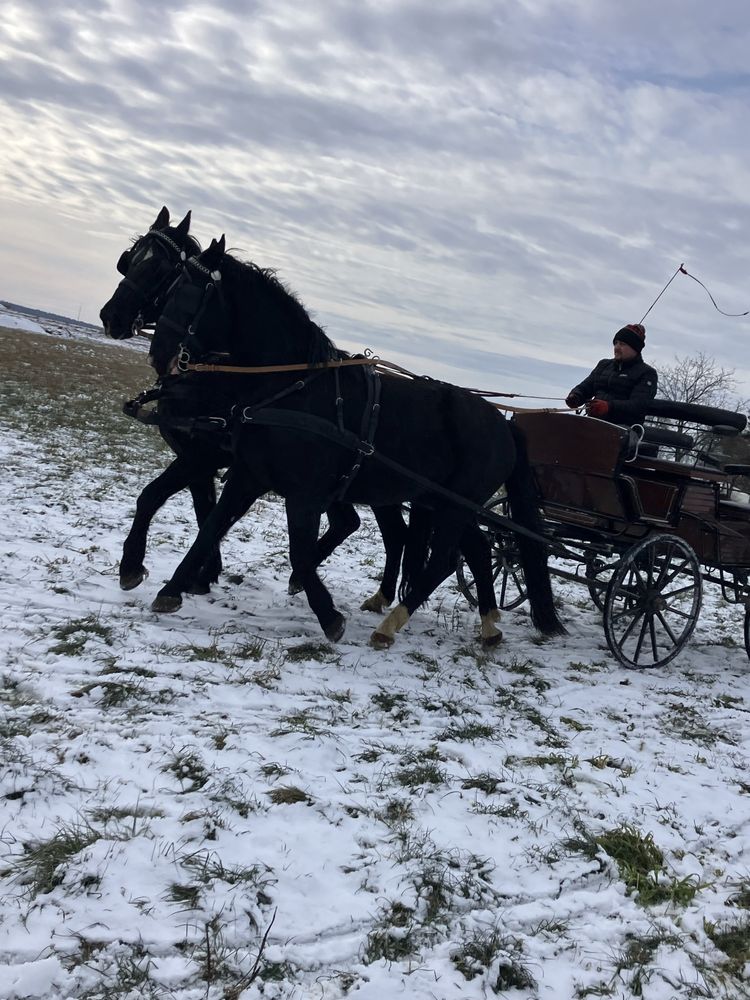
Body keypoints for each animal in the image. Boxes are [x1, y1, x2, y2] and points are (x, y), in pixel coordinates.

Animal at [100, 208, 408, 612]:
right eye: (129, 261)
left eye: (162, 270)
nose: (111, 317)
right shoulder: (201, 456)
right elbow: (204, 509)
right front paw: (203, 574)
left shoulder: (205, 455)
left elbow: (155, 496)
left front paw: (137, 567)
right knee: (354, 522)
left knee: (392, 532)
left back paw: (371, 592)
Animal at [145, 236, 564, 648]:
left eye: (187, 293)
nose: (160, 355)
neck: (291, 389)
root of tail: (503, 424)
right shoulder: (248, 476)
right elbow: (212, 526)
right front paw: (170, 590)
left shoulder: (304, 493)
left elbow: (300, 553)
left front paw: (329, 617)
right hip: (447, 502)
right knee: (476, 551)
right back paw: (488, 626)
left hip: (455, 504)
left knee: (443, 561)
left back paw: (391, 625)